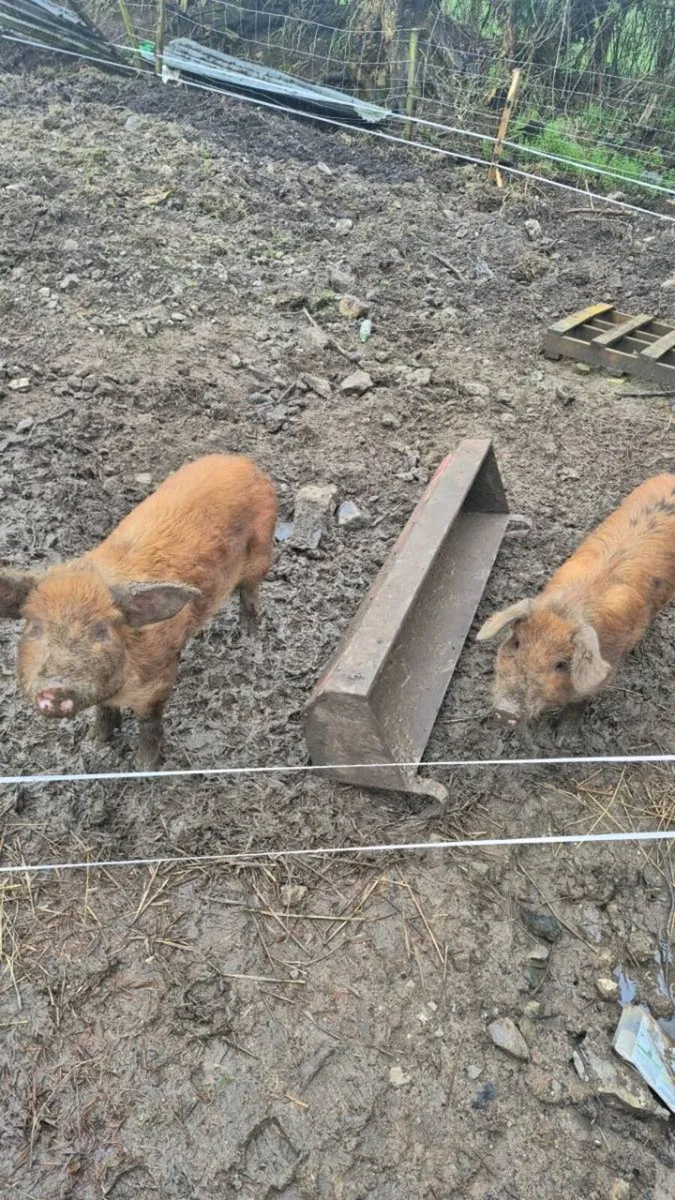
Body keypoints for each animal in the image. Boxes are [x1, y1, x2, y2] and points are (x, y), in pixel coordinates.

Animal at [0, 455, 277, 768]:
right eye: (35, 627)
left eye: (101, 631)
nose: (56, 687)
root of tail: (243, 461)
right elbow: (104, 712)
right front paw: (95, 744)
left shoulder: (158, 681)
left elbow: (149, 724)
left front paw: (144, 767)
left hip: (262, 552)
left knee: (250, 593)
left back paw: (248, 637)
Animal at [476, 474, 675, 725]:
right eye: (517, 642)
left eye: (561, 664)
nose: (506, 711)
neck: (568, 609)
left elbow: (577, 706)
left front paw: (564, 732)